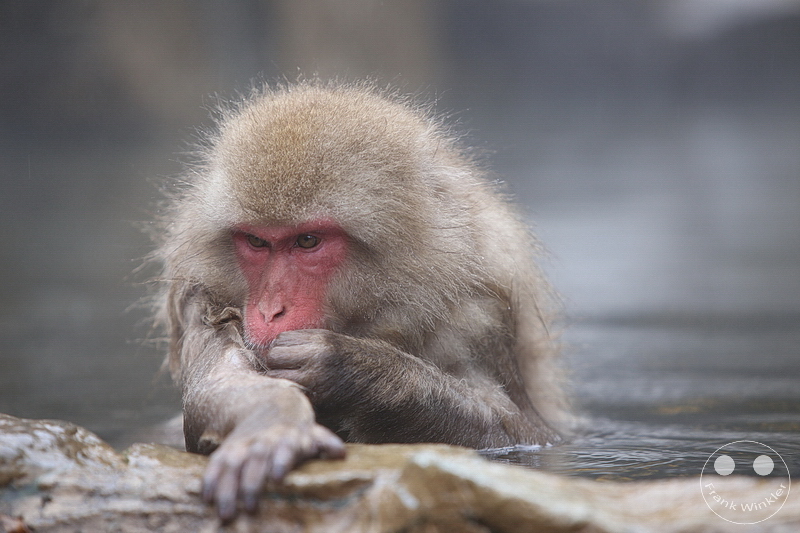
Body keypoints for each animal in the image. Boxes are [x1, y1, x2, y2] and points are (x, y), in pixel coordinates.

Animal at [153, 81, 566, 520]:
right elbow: (216, 384)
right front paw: (272, 421)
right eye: (257, 242)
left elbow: (519, 432)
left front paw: (351, 367)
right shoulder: (199, 295)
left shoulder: (481, 309)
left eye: (307, 241)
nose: (268, 310)